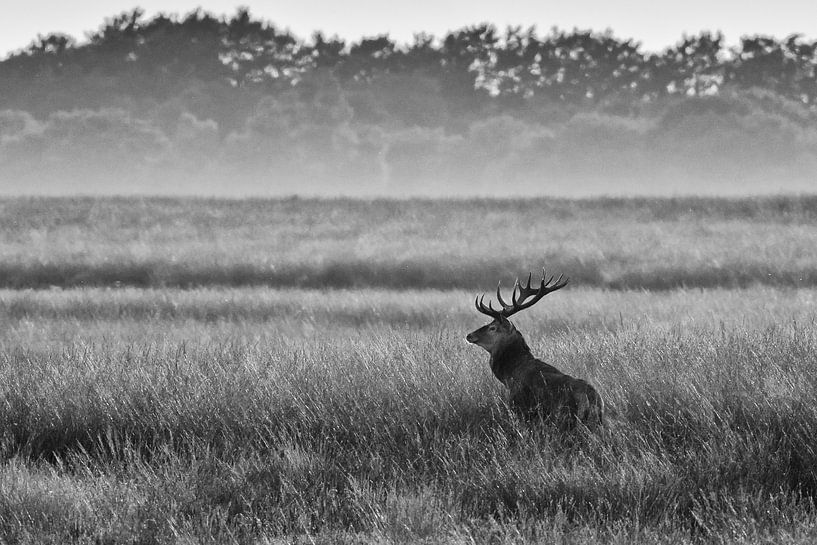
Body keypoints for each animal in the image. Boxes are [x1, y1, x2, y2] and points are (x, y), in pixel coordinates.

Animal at [466, 268, 600, 430]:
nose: (469, 335)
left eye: (493, 327)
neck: (508, 376)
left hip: (566, 419)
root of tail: (591, 399)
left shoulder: (518, 406)